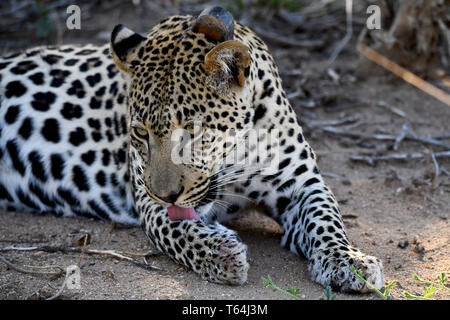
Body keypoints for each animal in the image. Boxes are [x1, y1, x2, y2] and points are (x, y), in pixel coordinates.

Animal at [0, 6, 384, 292]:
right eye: (140, 133)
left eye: (193, 130)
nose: (167, 194)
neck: (234, 156)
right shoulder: (147, 201)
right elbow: (178, 230)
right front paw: (220, 253)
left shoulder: (301, 182)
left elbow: (326, 219)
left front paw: (348, 261)